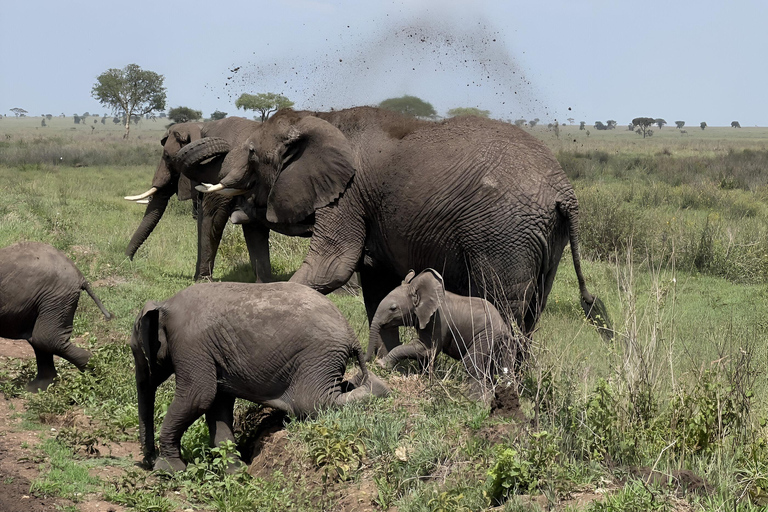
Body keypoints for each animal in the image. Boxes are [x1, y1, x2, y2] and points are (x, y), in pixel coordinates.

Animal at [0, 242, 112, 390]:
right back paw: (37, 388)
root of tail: (80, 274)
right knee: (39, 340)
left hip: (56, 298)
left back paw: (93, 375)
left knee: (46, 339)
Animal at [131, 280, 390, 472]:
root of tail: (350, 332)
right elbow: (217, 405)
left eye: (136, 350)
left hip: (317, 356)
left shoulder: (190, 343)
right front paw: (236, 472)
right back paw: (371, 385)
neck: (165, 305)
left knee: (312, 402)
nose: (147, 460)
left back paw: (378, 389)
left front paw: (167, 471)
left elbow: (198, 397)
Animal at [178, 108, 612, 356]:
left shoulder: (346, 196)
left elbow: (330, 267)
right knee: (531, 312)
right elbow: (374, 283)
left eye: (252, 154)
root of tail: (564, 191)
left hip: (504, 235)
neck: (316, 116)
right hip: (544, 239)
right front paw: (379, 361)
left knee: (503, 306)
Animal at [366, 268, 516, 404]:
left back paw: (475, 401)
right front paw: (424, 379)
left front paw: (382, 364)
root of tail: (504, 327)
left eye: (393, 308)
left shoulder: (437, 321)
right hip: (502, 345)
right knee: (500, 370)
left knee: (472, 362)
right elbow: (423, 353)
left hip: (487, 335)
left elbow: (426, 350)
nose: (369, 361)